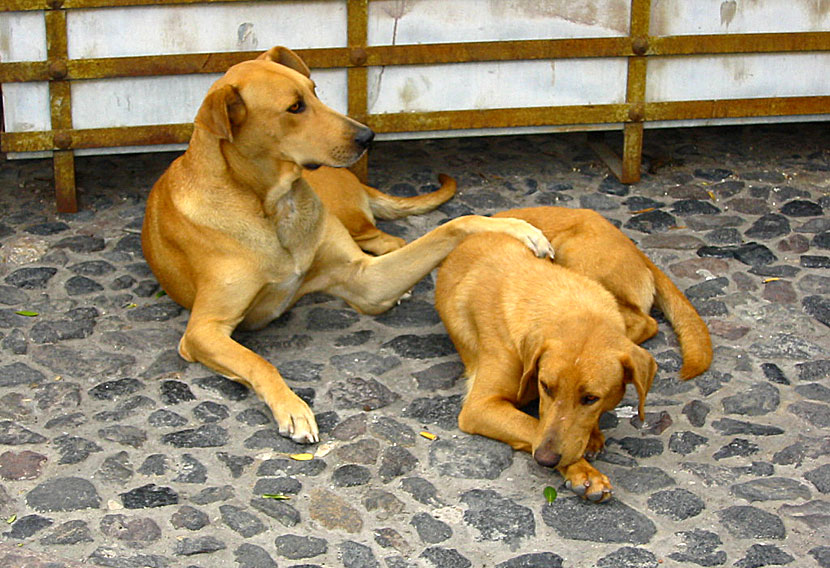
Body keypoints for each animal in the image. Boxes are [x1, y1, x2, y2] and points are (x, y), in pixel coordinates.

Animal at [436, 206, 716, 500]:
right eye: (546, 387)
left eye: (590, 398)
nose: (545, 459)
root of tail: (633, 246)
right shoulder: (480, 406)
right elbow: (533, 426)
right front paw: (584, 469)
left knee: (645, 321)